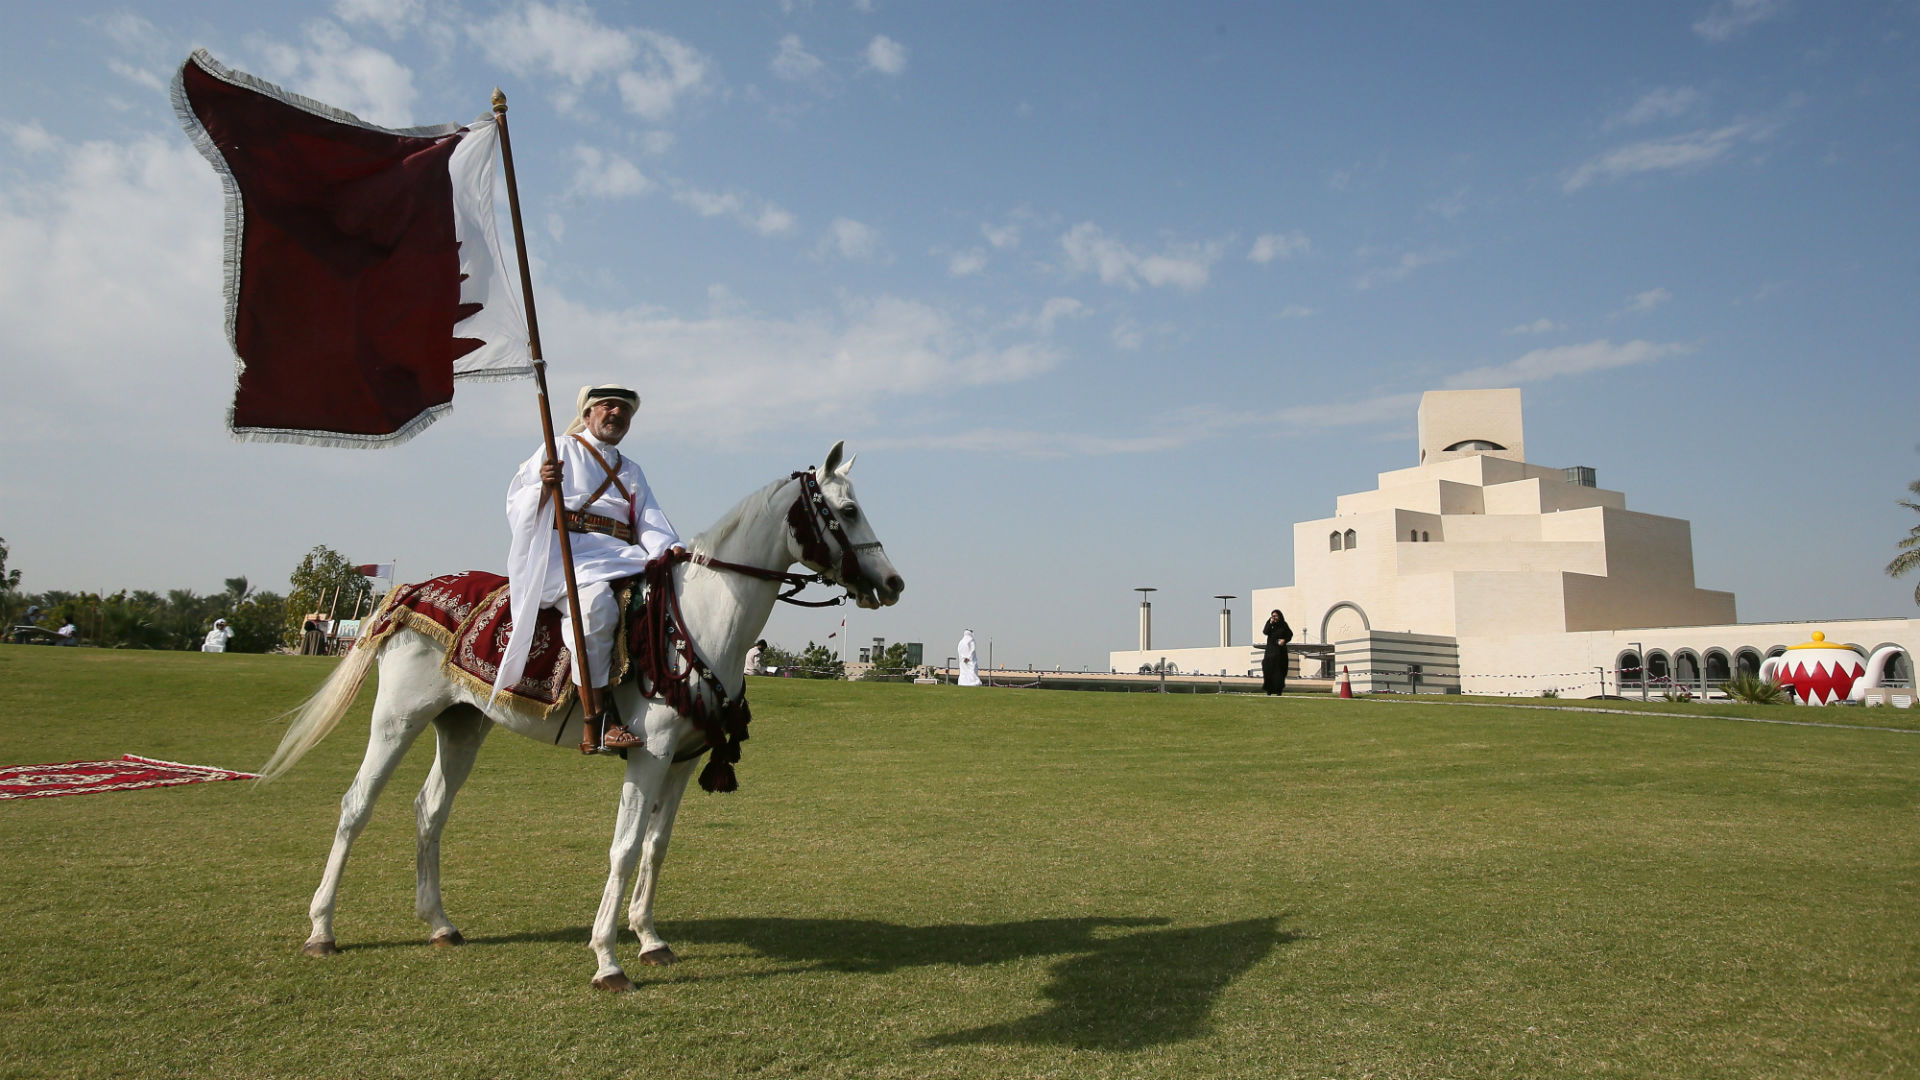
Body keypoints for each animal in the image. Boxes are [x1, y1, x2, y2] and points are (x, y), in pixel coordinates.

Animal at [257, 441, 906, 991]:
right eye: (847, 511)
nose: (893, 583)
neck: (698, 620)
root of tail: (411, 592)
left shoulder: (680, 761)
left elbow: (656, 846)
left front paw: (649, 939)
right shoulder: (648, 755)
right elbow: (624, 847)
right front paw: (608, 959)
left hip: (462, 724)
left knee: (431, 810)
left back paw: (440, 924)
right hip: (397, 719)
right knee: (356, 805)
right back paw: (322, 930)